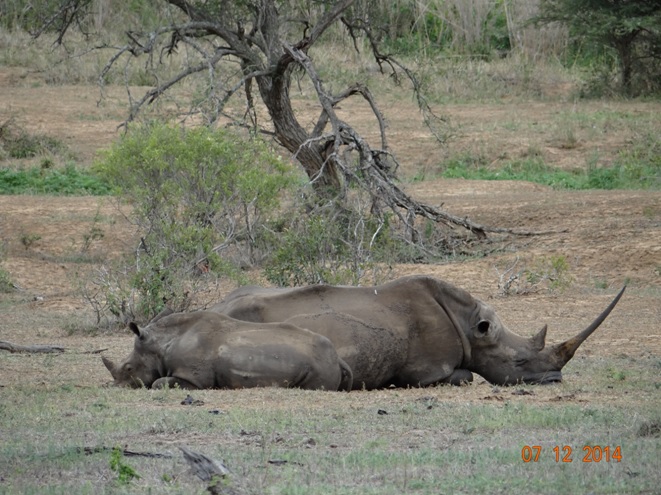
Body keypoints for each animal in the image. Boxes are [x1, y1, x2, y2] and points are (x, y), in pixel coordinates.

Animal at [100, 314, 354, 392]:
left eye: (129, 369)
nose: (116, 387)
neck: (162, 343)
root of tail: (337, 358)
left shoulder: (195, 379)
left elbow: (157, 382)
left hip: (319, 365)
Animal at [211, 278, 624, 390]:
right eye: (520, 362)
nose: (555, 379)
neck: (471, 328)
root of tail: (217, 308)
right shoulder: (426, 370)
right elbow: (465, 374)